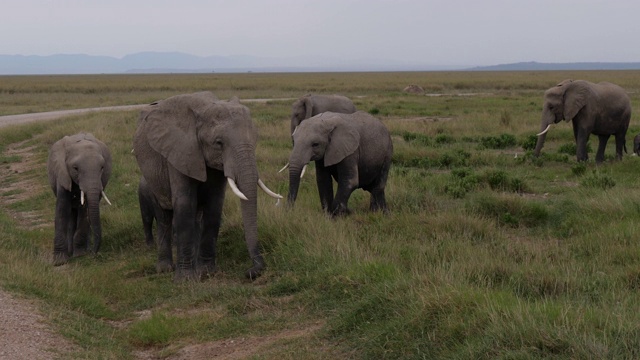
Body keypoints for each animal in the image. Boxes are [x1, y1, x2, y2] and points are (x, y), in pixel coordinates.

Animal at [46, 132, 112, 264]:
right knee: (71, 214)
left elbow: (84, 212)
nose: (94, 253)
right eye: (75, 168)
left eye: (102, 168)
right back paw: (71, 251)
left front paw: (80, 255)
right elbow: (62, 210)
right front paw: (60, 261)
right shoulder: (62, 175)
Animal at [131, 90, 282, 282]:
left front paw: (206, 272)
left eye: (256, 139)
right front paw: (185, 280)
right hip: (151, 177)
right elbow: (185, 206)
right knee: (164, 216)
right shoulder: (180, 151)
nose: (250, 271)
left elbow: (214, 206)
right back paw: (165, 269)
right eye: (218, 143)